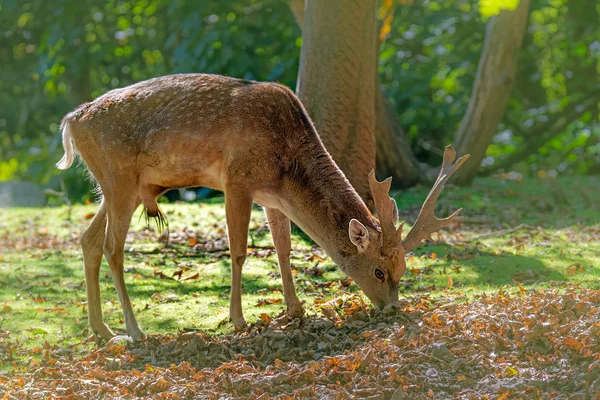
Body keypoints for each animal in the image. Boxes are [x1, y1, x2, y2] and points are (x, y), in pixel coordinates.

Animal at [56, 73, 468, 342]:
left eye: (403, 268)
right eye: (380, 271)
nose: (394, 307)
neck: (284, 163)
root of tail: (70, 122)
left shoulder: (273, 198)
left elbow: (283, 248)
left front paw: (295, 309)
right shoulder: (236, 180)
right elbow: (239, 251)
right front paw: (238, 319)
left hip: (116, 188)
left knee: (87, 240)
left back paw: (102, 329)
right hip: (118, 180)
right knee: (112, 248)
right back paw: (134, 330)